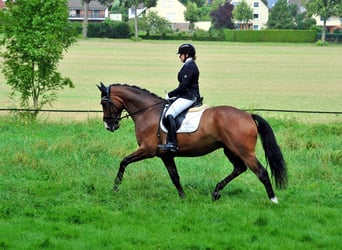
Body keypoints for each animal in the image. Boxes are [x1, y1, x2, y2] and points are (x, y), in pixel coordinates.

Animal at [97, 82, 288, 203]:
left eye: (104, 103)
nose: (109, 125)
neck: (147, 112)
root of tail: (248, 115)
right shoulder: (165, 155)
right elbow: (174, 177)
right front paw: (183, 197)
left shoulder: (148, 150)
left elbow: (123, 162)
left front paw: (115, 188)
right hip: (230, 149)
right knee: (239, 168)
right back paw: (216, 193)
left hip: (244, 151)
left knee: (261, 172)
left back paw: (273, 200)